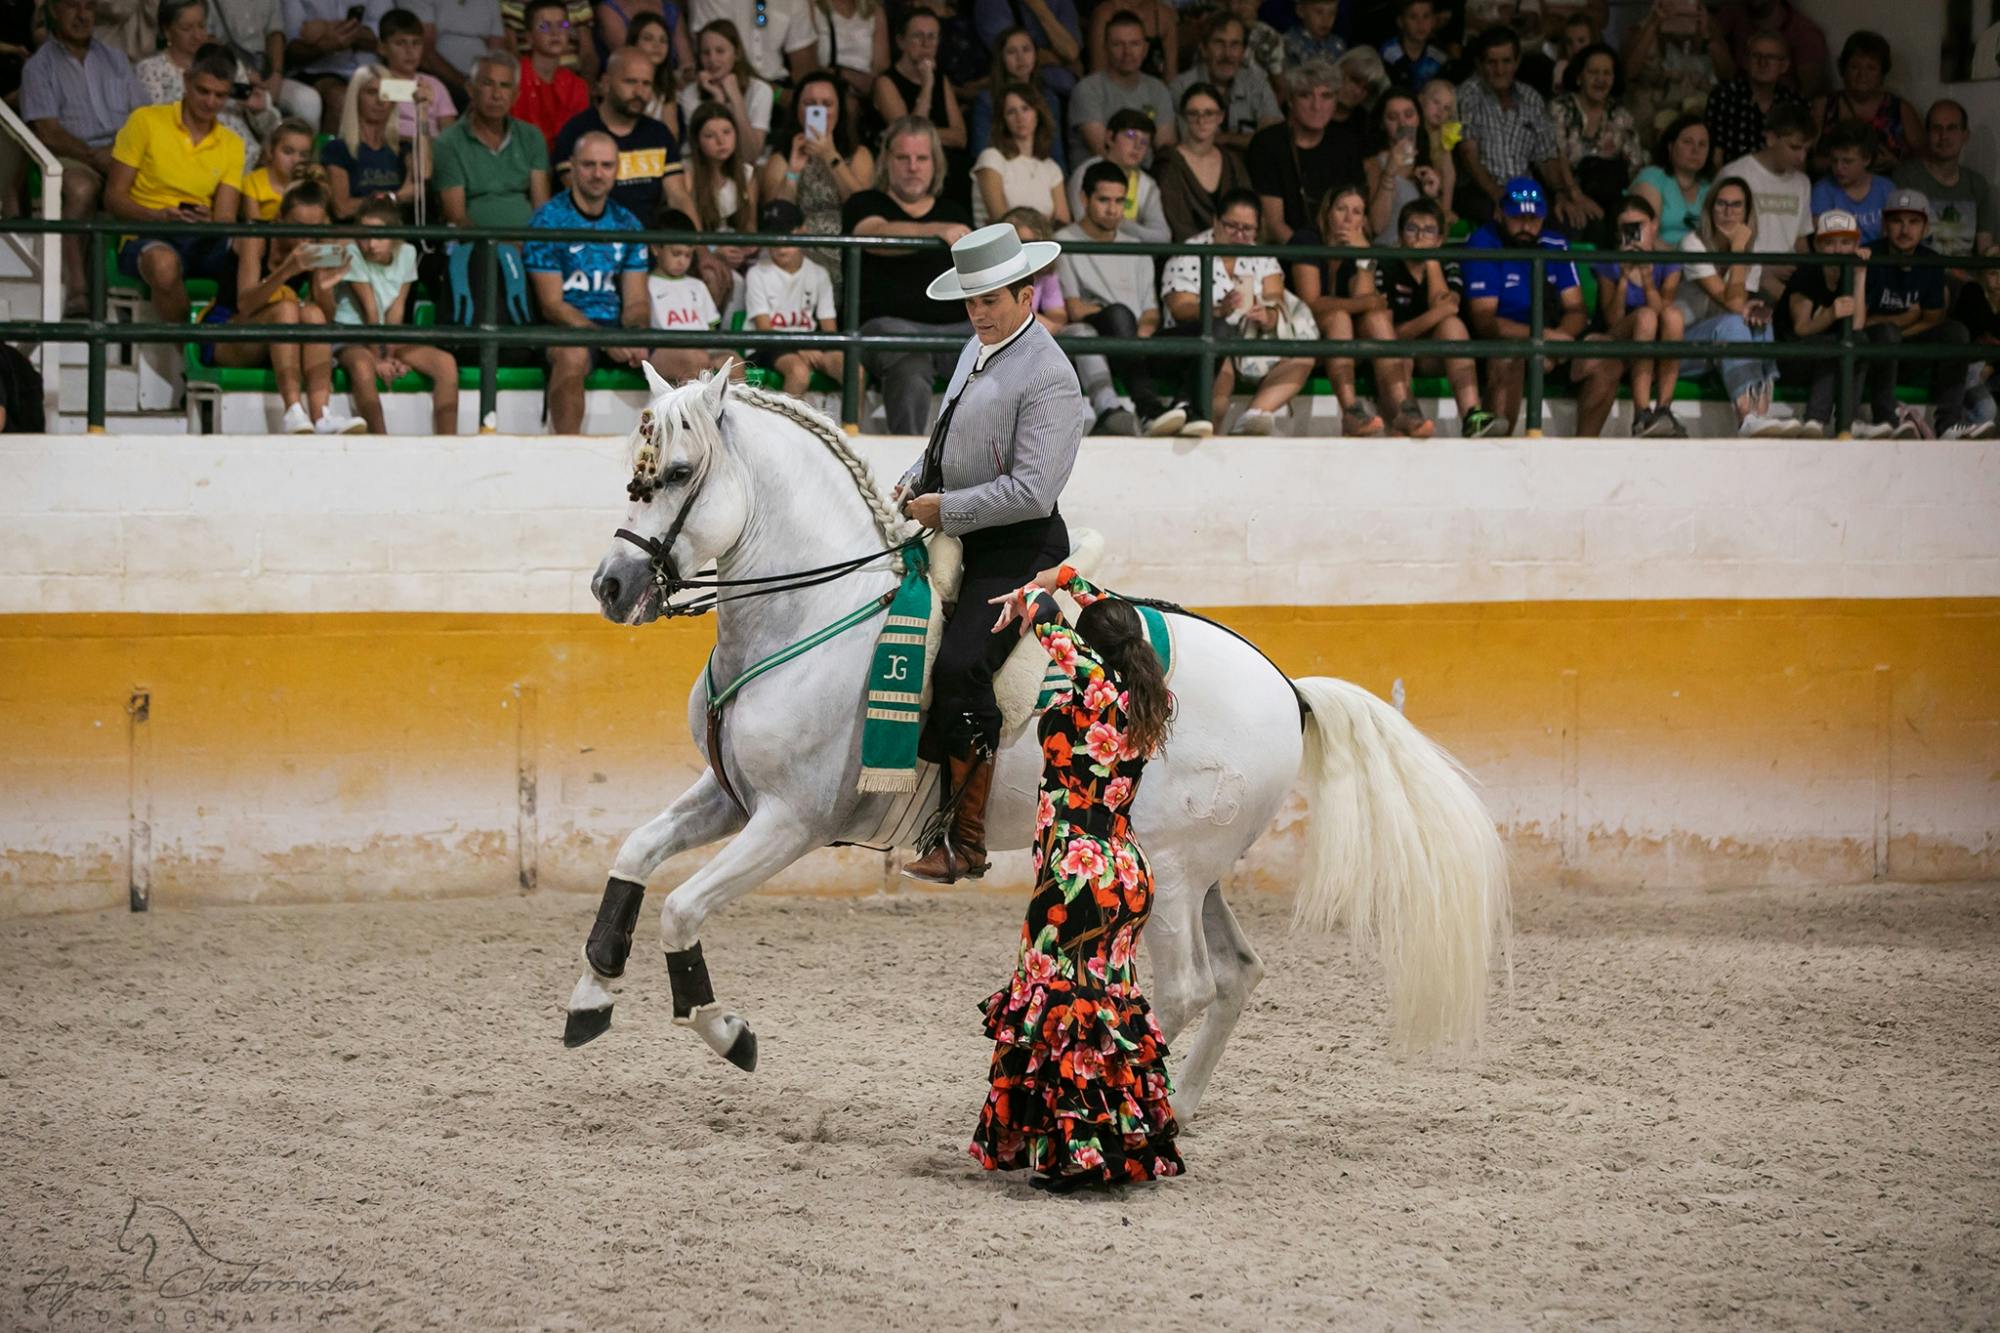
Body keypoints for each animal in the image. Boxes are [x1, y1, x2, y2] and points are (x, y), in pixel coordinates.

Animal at [564, 366, 1504, 1120]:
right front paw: (591, 994)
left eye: (676, 473)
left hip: (1173, 867)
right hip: (1194, 868)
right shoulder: (730, 795)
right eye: (634, 475)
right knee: (1239, 973)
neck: (813, 614)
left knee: (1189, 986)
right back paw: (1182, 1107)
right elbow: (634, 855)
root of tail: (1287, 689)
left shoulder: (790, 820)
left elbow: (682, 906)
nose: (611, 584)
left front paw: (727, 1029)